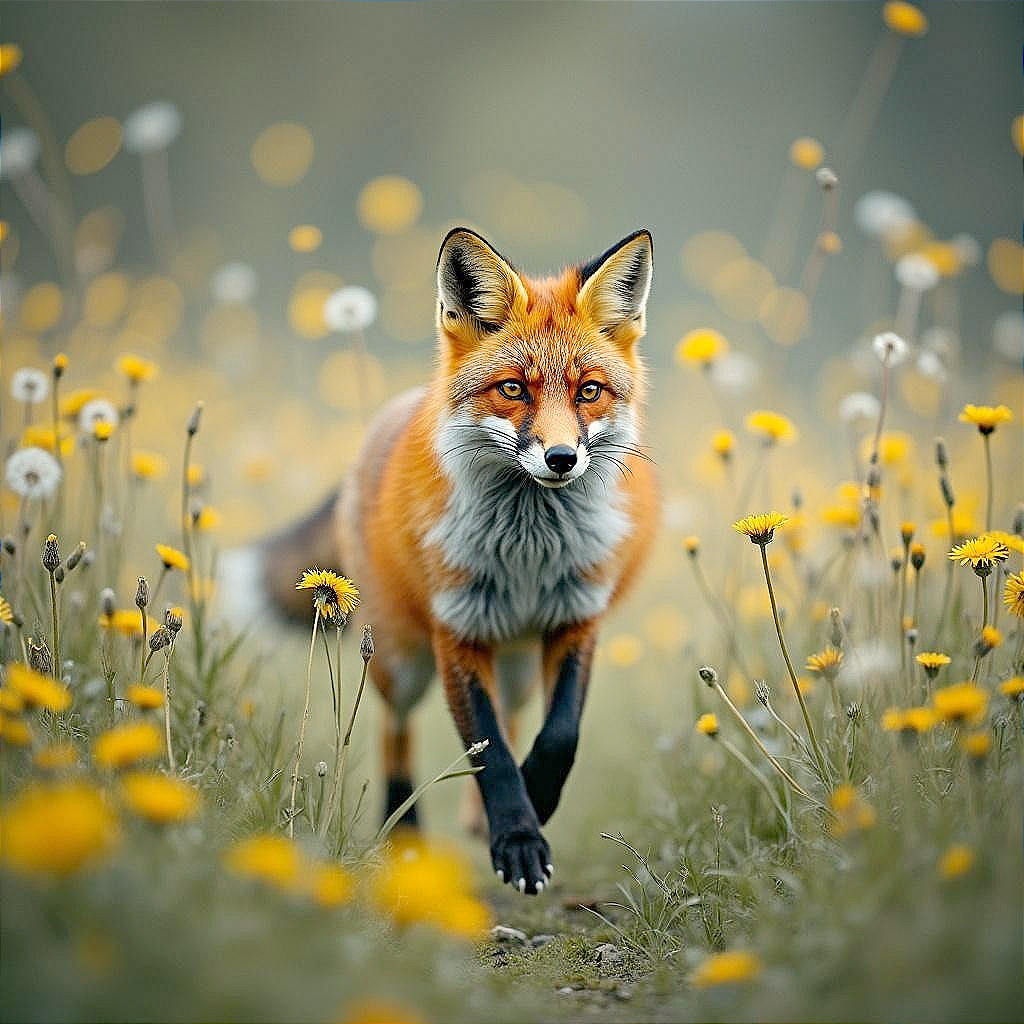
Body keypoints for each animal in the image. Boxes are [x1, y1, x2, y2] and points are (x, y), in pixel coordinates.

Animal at [243, 227, 659, 895]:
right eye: (513, 388)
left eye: (589, 391)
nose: (562, 458)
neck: (528, 552)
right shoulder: (457, 630)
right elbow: (490, 755)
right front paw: (517, 838)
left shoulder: (578, 617)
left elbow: (557, 735)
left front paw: (536, 801)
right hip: (401, 660)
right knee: (393, 729)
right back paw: (406, 836)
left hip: (516, 662)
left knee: (514, 718)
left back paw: (473, 815)